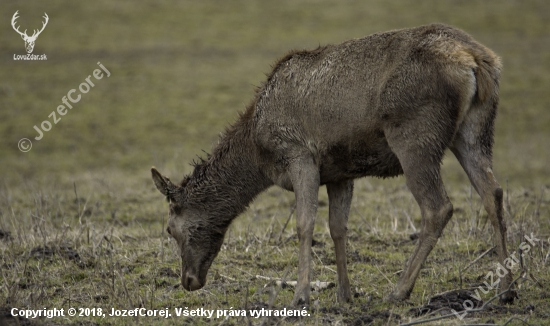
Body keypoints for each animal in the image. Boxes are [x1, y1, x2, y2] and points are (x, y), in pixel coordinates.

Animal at [152, 22, 516, 306]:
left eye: (170, 229)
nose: (188, 281)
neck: (259, 152)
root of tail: (477, 59)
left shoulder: (299, 154)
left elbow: (305, 225)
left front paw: (301, 296)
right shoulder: (341, 171)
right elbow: (338, 227)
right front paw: (345, 294)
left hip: (414, 135)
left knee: (438, 207)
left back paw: (399, 291)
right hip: (475, 129)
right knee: (493, 192)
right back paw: (507, 288)